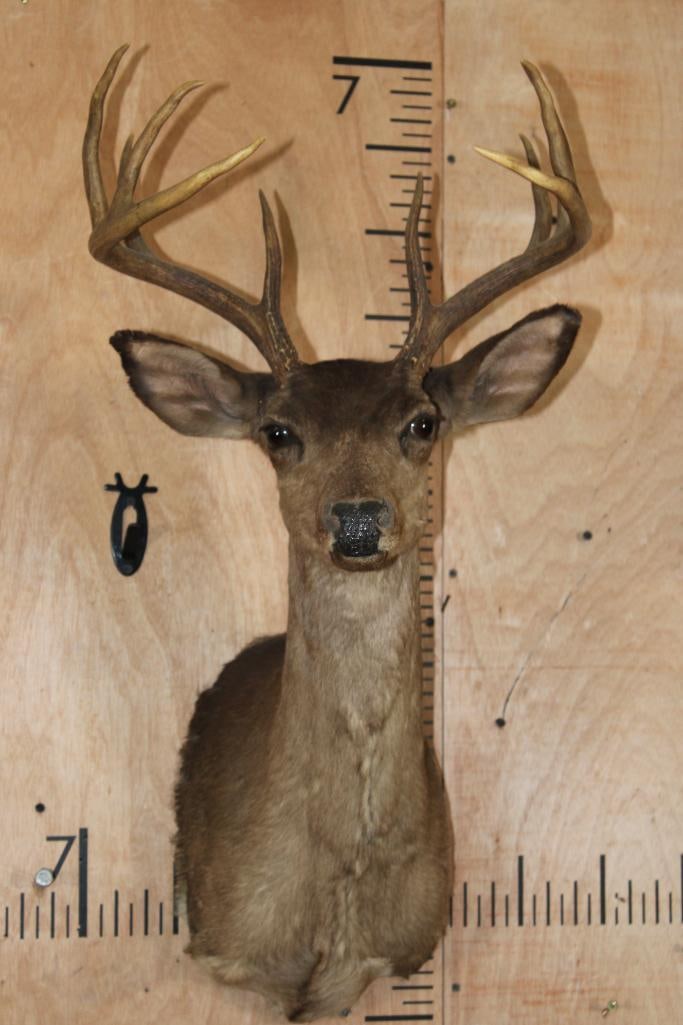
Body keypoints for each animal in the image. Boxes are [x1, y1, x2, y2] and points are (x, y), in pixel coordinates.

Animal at [84, 45, 591, 1023]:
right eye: (278, 431)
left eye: (423, 422)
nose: (356, 518)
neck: (335, 875)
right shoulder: (234, 954)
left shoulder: (383, 957)